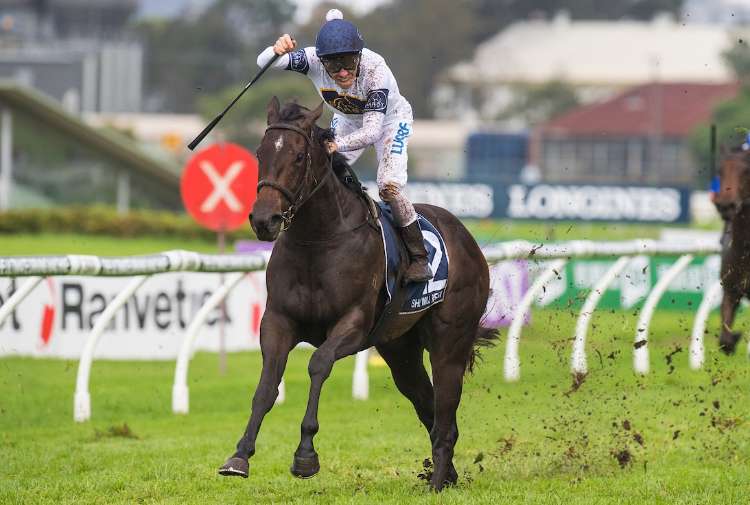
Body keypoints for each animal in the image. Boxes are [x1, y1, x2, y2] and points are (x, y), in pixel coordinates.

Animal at [217, 97, 495, 491]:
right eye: (260, 152)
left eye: (299, 157)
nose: (263, 220)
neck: (319, 240)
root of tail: (466, 237)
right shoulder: (278, 321)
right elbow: (267, 385)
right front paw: (240, 455)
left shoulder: (353, 323)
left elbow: (318, 364)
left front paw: (305, 455)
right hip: (400, 350)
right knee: (428, 407)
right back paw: (446, 476)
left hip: (450, 341)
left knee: (445, 413)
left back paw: (438, 480)